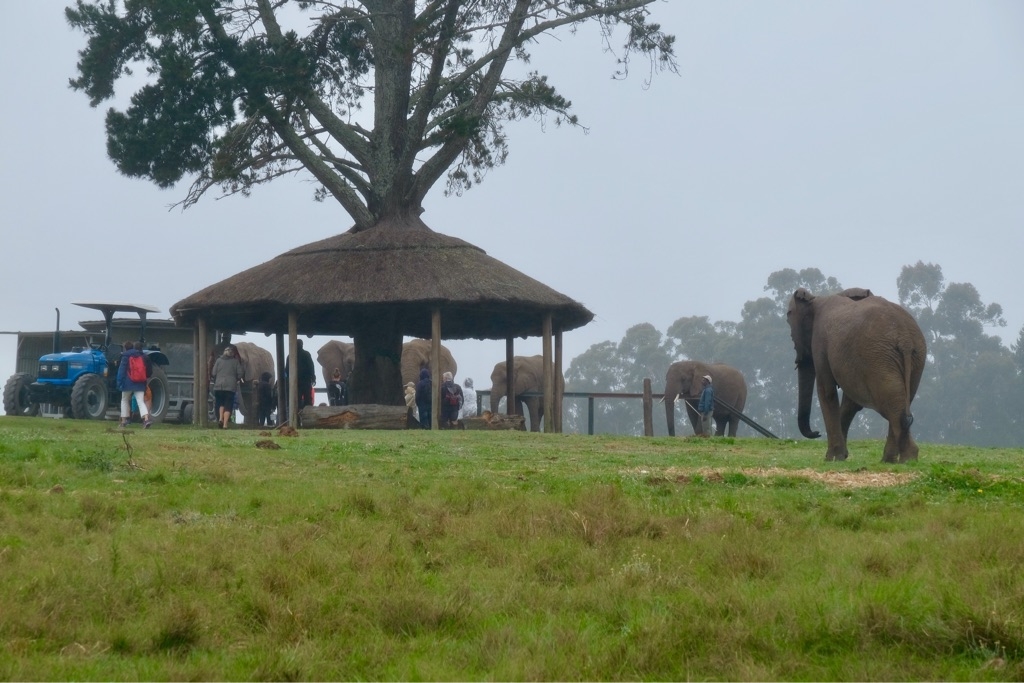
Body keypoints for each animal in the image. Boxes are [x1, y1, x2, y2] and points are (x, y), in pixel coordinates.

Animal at [787, 287, 927, 463]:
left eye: (788, 319)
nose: (816, 433)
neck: (816, 298)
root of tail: (905, 339)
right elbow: (850, 403)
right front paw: (841, 456)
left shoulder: (820, 342)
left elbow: (827, 391)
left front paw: (832, 458)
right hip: (915, 358)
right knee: (901, 400)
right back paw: (892, 460)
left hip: (878, 359)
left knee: (891, 402)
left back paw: (906, 459)